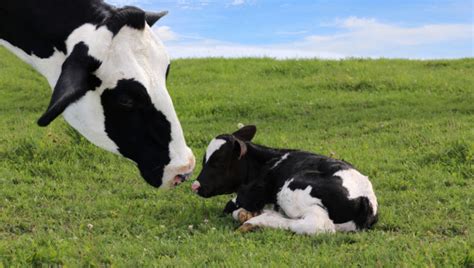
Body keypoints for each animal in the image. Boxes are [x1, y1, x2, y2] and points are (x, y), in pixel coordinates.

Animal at [191, 125, 380, 234]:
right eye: (203, 160)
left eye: (218, 161)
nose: (195, 186)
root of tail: (365, 198)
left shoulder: (247, 196)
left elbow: (230, 207)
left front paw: (247, 213)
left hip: (293, 190)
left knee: (318, 225)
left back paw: (257, 220)